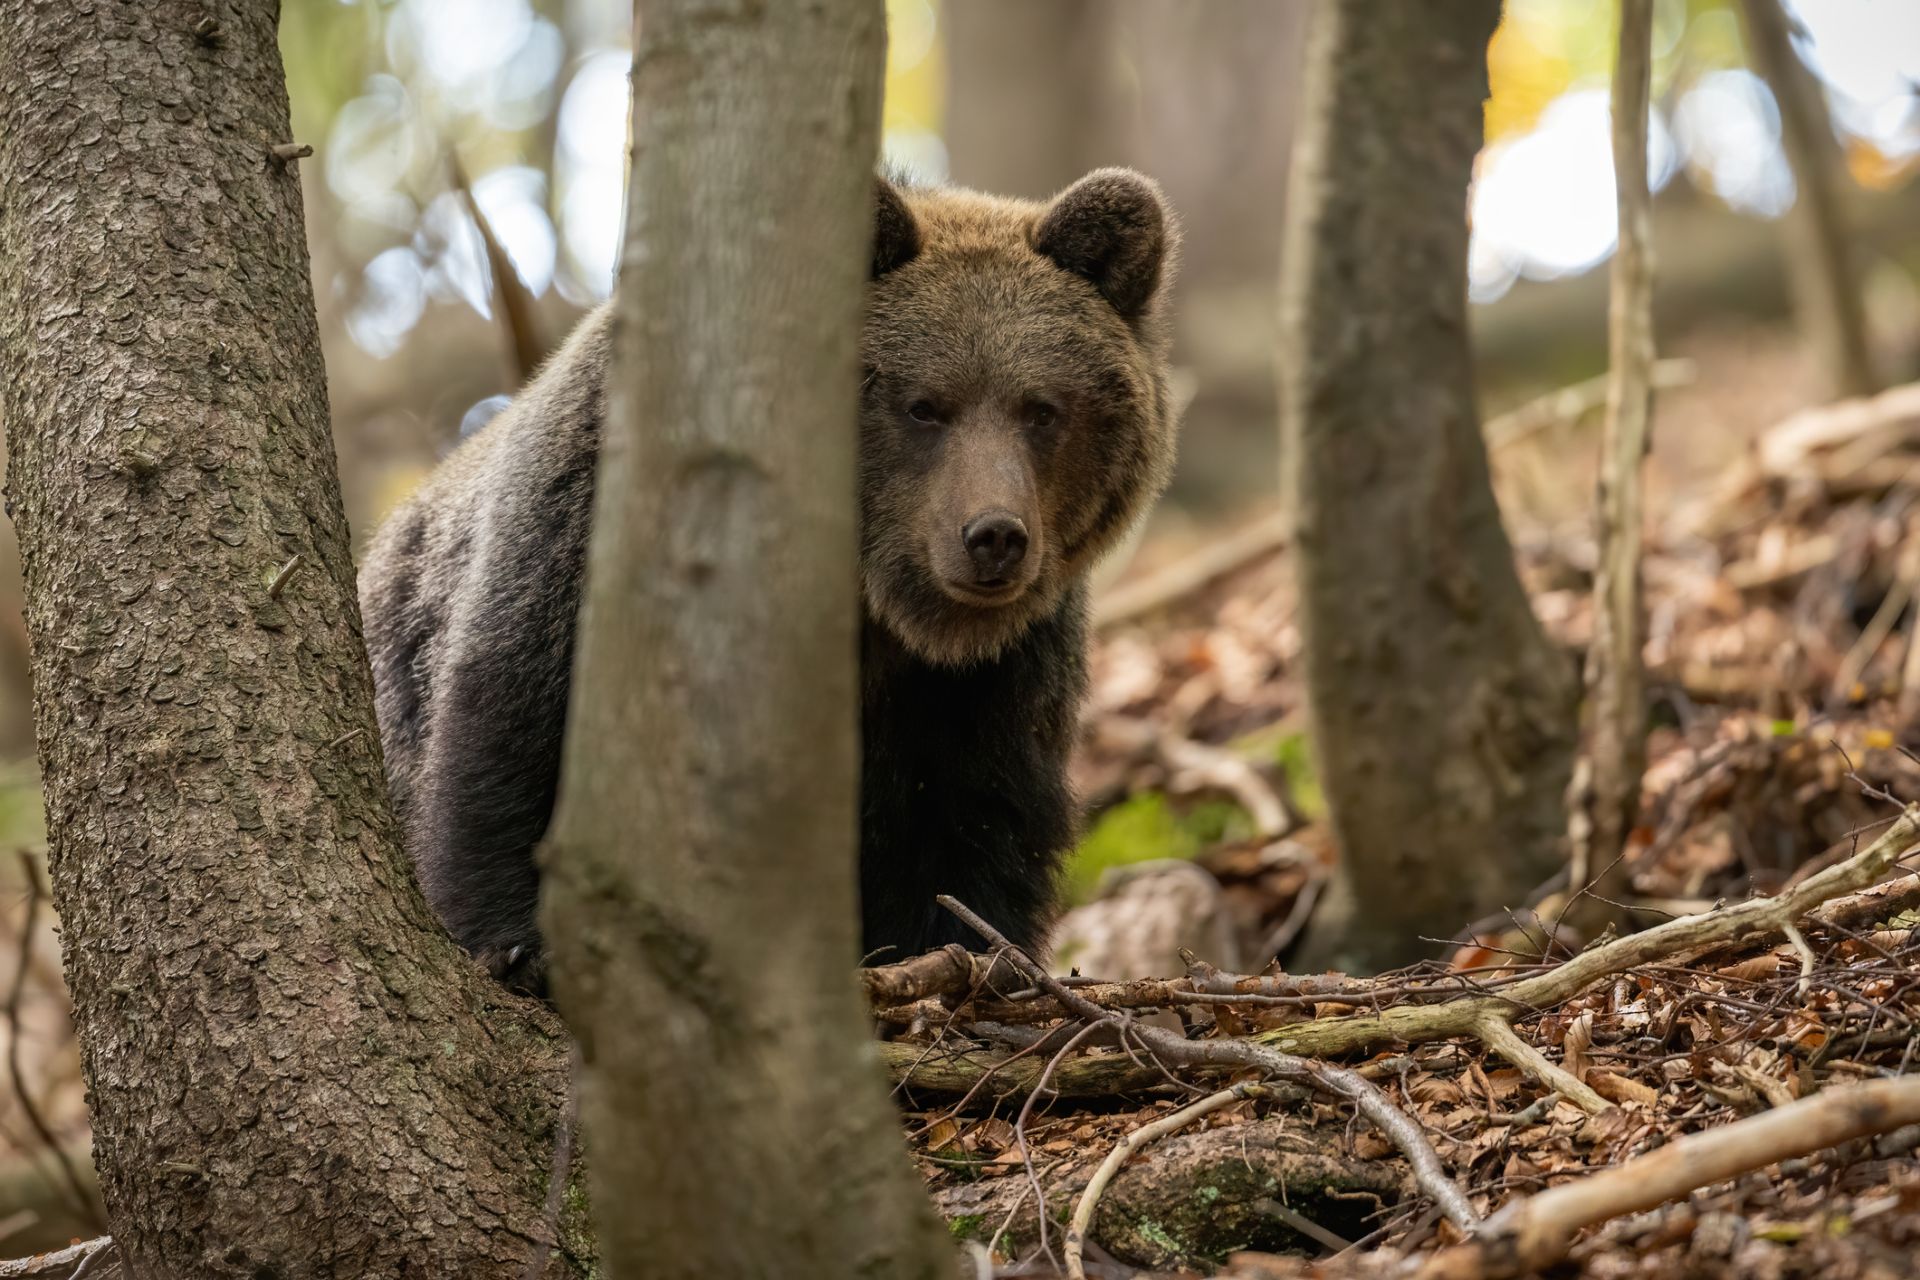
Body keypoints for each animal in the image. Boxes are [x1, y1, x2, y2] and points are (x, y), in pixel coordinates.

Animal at [355, 169, 1175, 990]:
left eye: (1041, 409)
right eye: (923, 406)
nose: (994, 535)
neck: (868, 598)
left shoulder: (981, 676)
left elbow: (973, 815)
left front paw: (976, 951)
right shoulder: (585, 538)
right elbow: (513, 730)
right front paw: (520, 942)